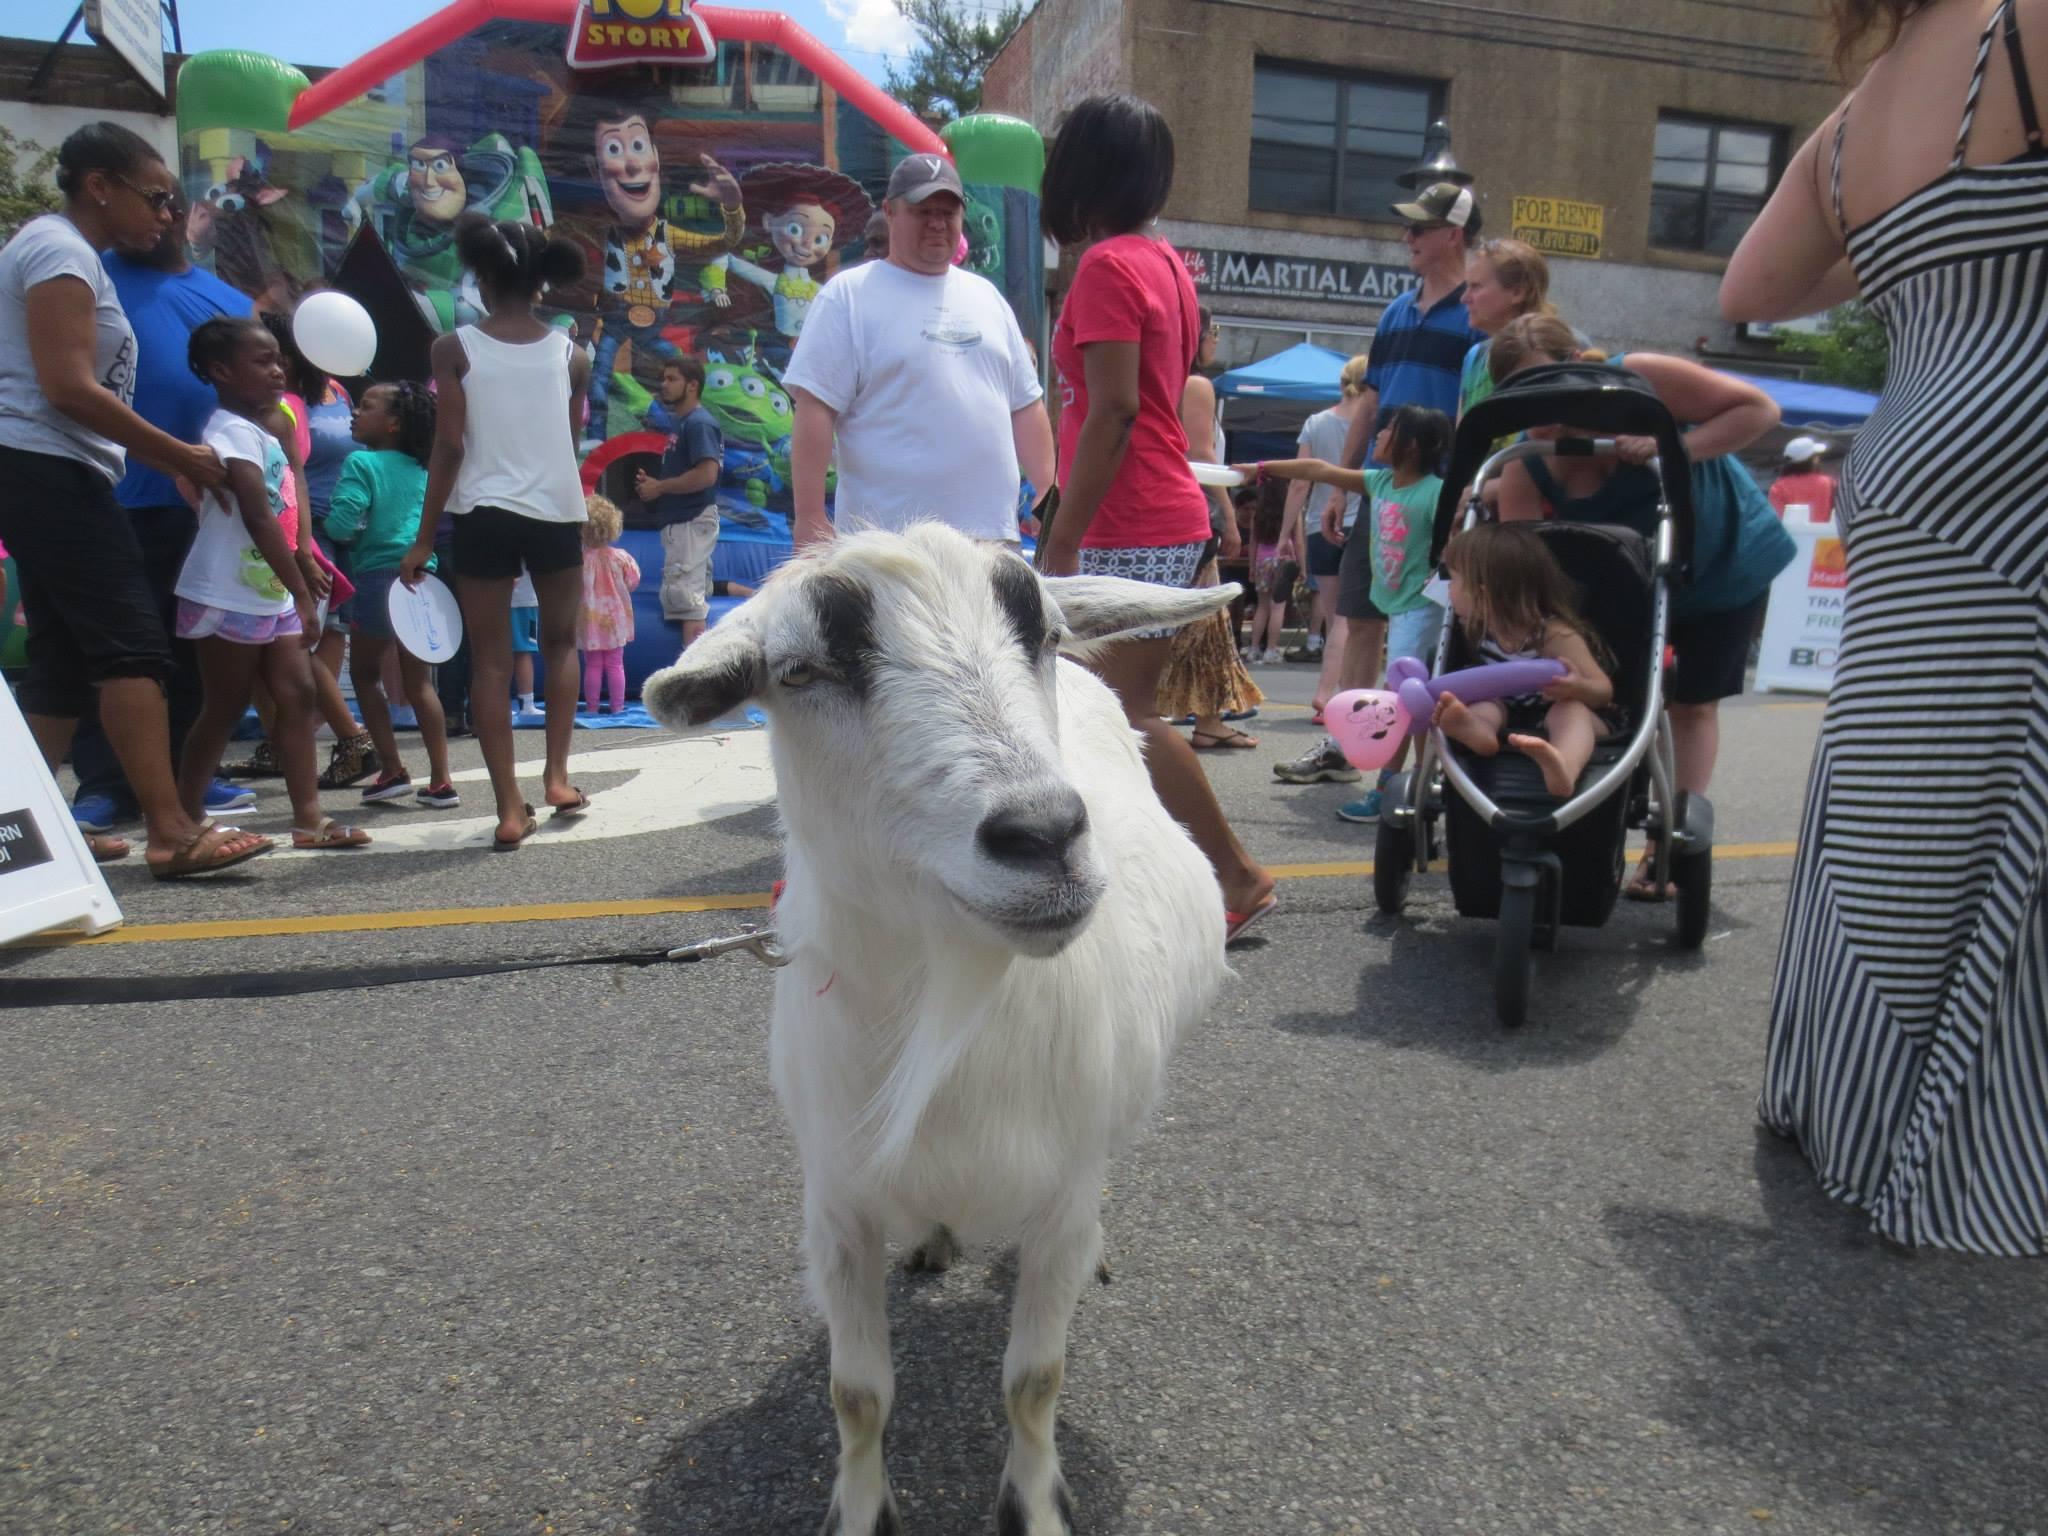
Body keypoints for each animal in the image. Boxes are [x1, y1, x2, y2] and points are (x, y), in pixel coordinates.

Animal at [647, 528, 1236, 1536]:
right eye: (800, 670)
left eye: (1043, 631)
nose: (1044, 834)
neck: (952, 1017)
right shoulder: (836, 1203)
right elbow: (856, 1394)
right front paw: (860, 1510)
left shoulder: (1060, 1198)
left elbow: (1034, 1379)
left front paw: (1034, 1507)